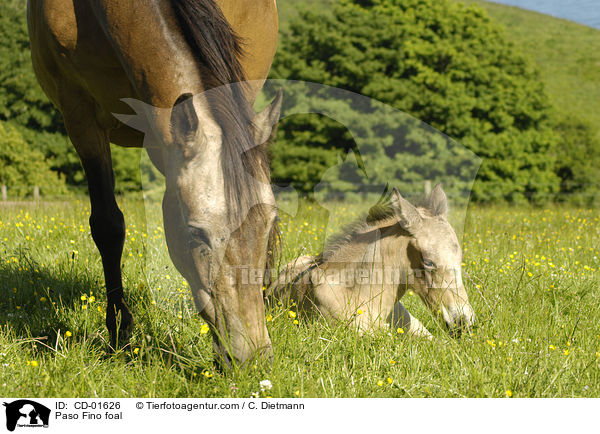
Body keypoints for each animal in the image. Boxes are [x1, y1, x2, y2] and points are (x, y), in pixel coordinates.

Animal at [26, 0, 282, 366]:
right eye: (195, 236)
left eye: (269, 224)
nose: (253, 357)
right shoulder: (79, 114)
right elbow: (107, 226)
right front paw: (118, 331)